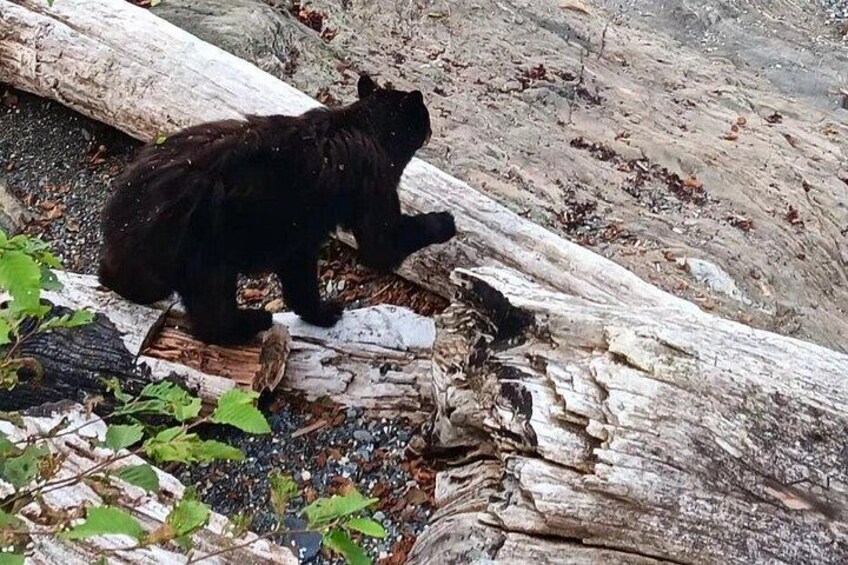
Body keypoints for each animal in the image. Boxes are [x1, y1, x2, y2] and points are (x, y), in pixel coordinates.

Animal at [98, 74, 456, 345]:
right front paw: (445, 222)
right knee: (212, 306)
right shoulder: (371, 183)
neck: (363, 126)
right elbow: (381, 244)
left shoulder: (297, 233)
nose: (430, 129)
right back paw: (250, 321)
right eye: (424, 117)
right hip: (203, 243)